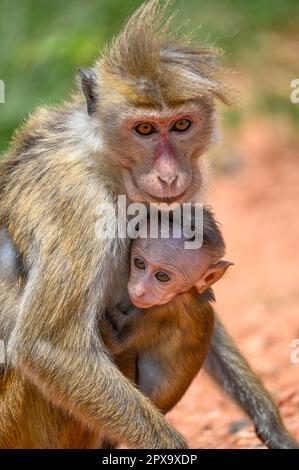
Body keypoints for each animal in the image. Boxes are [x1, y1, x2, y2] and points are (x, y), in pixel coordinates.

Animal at [104, 207, 233, 414]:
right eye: (139, 263)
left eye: (162, 276)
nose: (138, 290)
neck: (188, 293)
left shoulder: (164, 312)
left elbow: (117, 344)